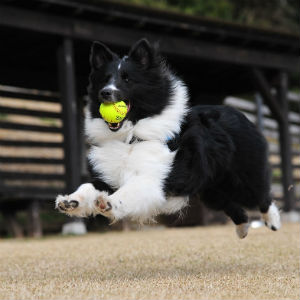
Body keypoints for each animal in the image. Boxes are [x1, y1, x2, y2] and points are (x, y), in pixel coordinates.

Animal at [55, 38, 280, 239]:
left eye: (127, 79)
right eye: (105, 79)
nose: (105, 93)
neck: (130, 138)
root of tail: (239, 112)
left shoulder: (151, 179)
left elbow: (128, 192)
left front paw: (108, 204)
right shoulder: (108, 175)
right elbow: (87, 186)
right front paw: (70, 201)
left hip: (242, 179)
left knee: (262, 196)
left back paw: (273, 222)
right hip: (211, 189)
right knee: (234, 207)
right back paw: (242, 229)